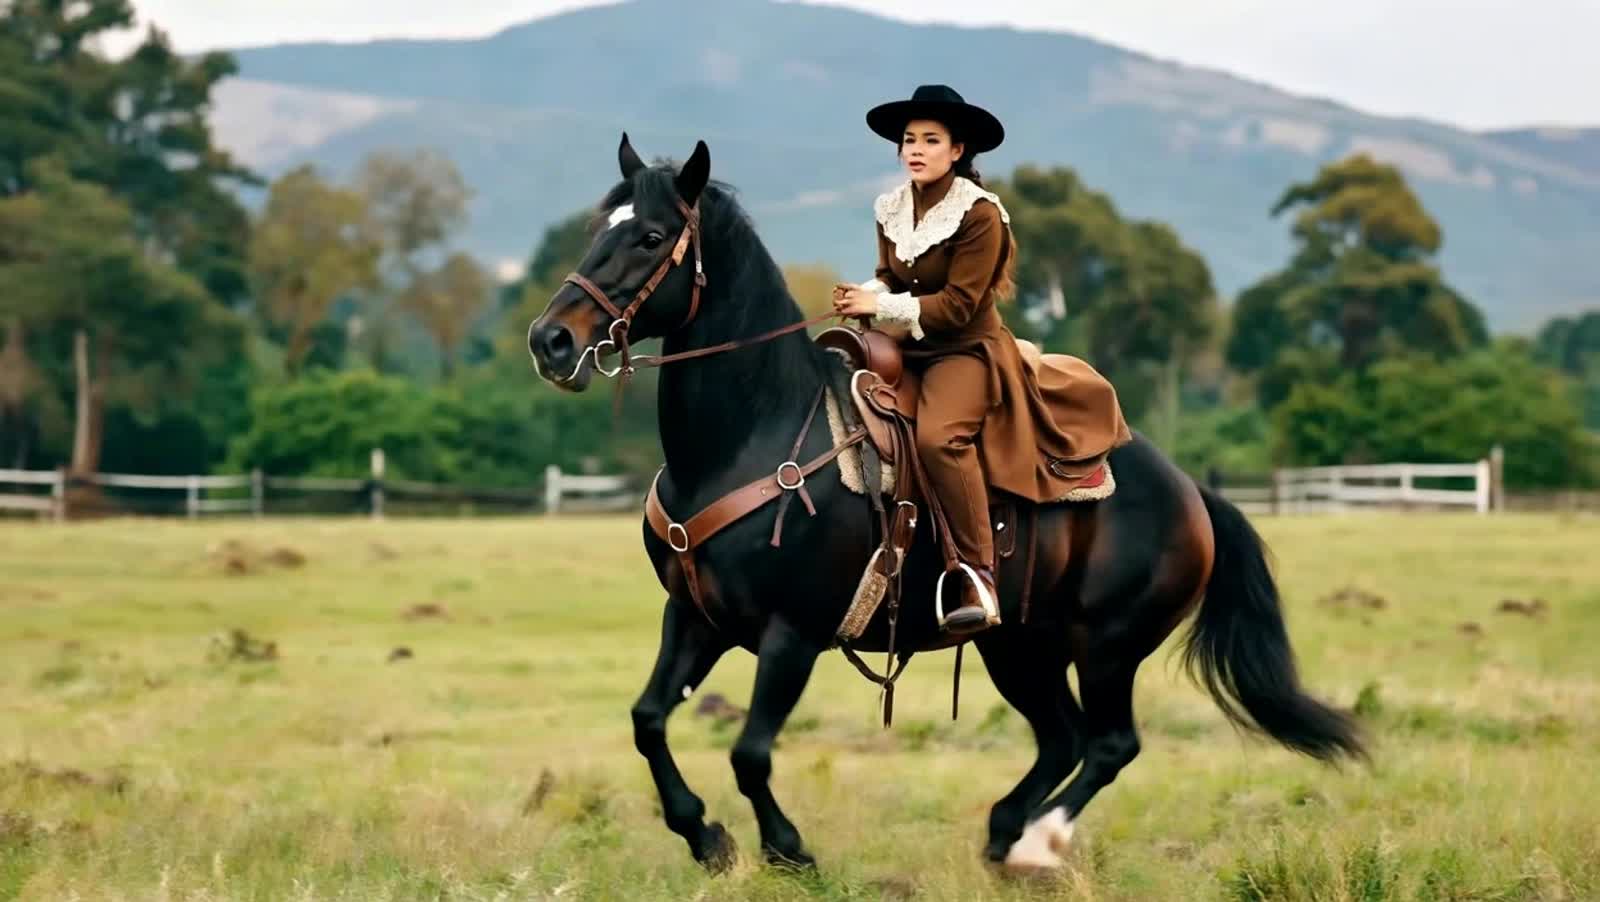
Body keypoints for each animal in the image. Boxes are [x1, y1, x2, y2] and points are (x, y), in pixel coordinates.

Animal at [525, 135, 1365, 875]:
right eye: (598, 230)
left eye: (652, 236)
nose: (550, 340)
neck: (750, 434)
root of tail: (1190, 490)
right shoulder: (696, 618)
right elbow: (648, 722)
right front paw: (707, 839)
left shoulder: (792, 634)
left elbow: (750, 752)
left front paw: (788, 850)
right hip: (1020, 647)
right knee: (1062, 740)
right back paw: (1002, 833)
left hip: (1108, 645)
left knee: (1109, 744)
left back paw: (1036, 843)